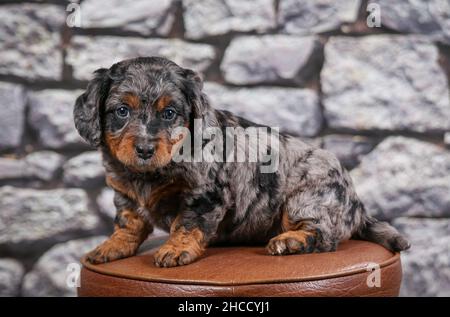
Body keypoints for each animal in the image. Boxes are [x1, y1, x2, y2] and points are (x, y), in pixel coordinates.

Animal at [72, 56, 410, 266]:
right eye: (122, 111)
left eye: (169, 113)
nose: (143, 149)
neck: (150, 173)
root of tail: (356, 203)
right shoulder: (124, 193)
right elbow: (128, 222)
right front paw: (112, 246)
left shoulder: (205, 194)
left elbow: (187, 223)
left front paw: (176, 250)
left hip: (307, 199)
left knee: (324, 235)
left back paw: (290, 242)